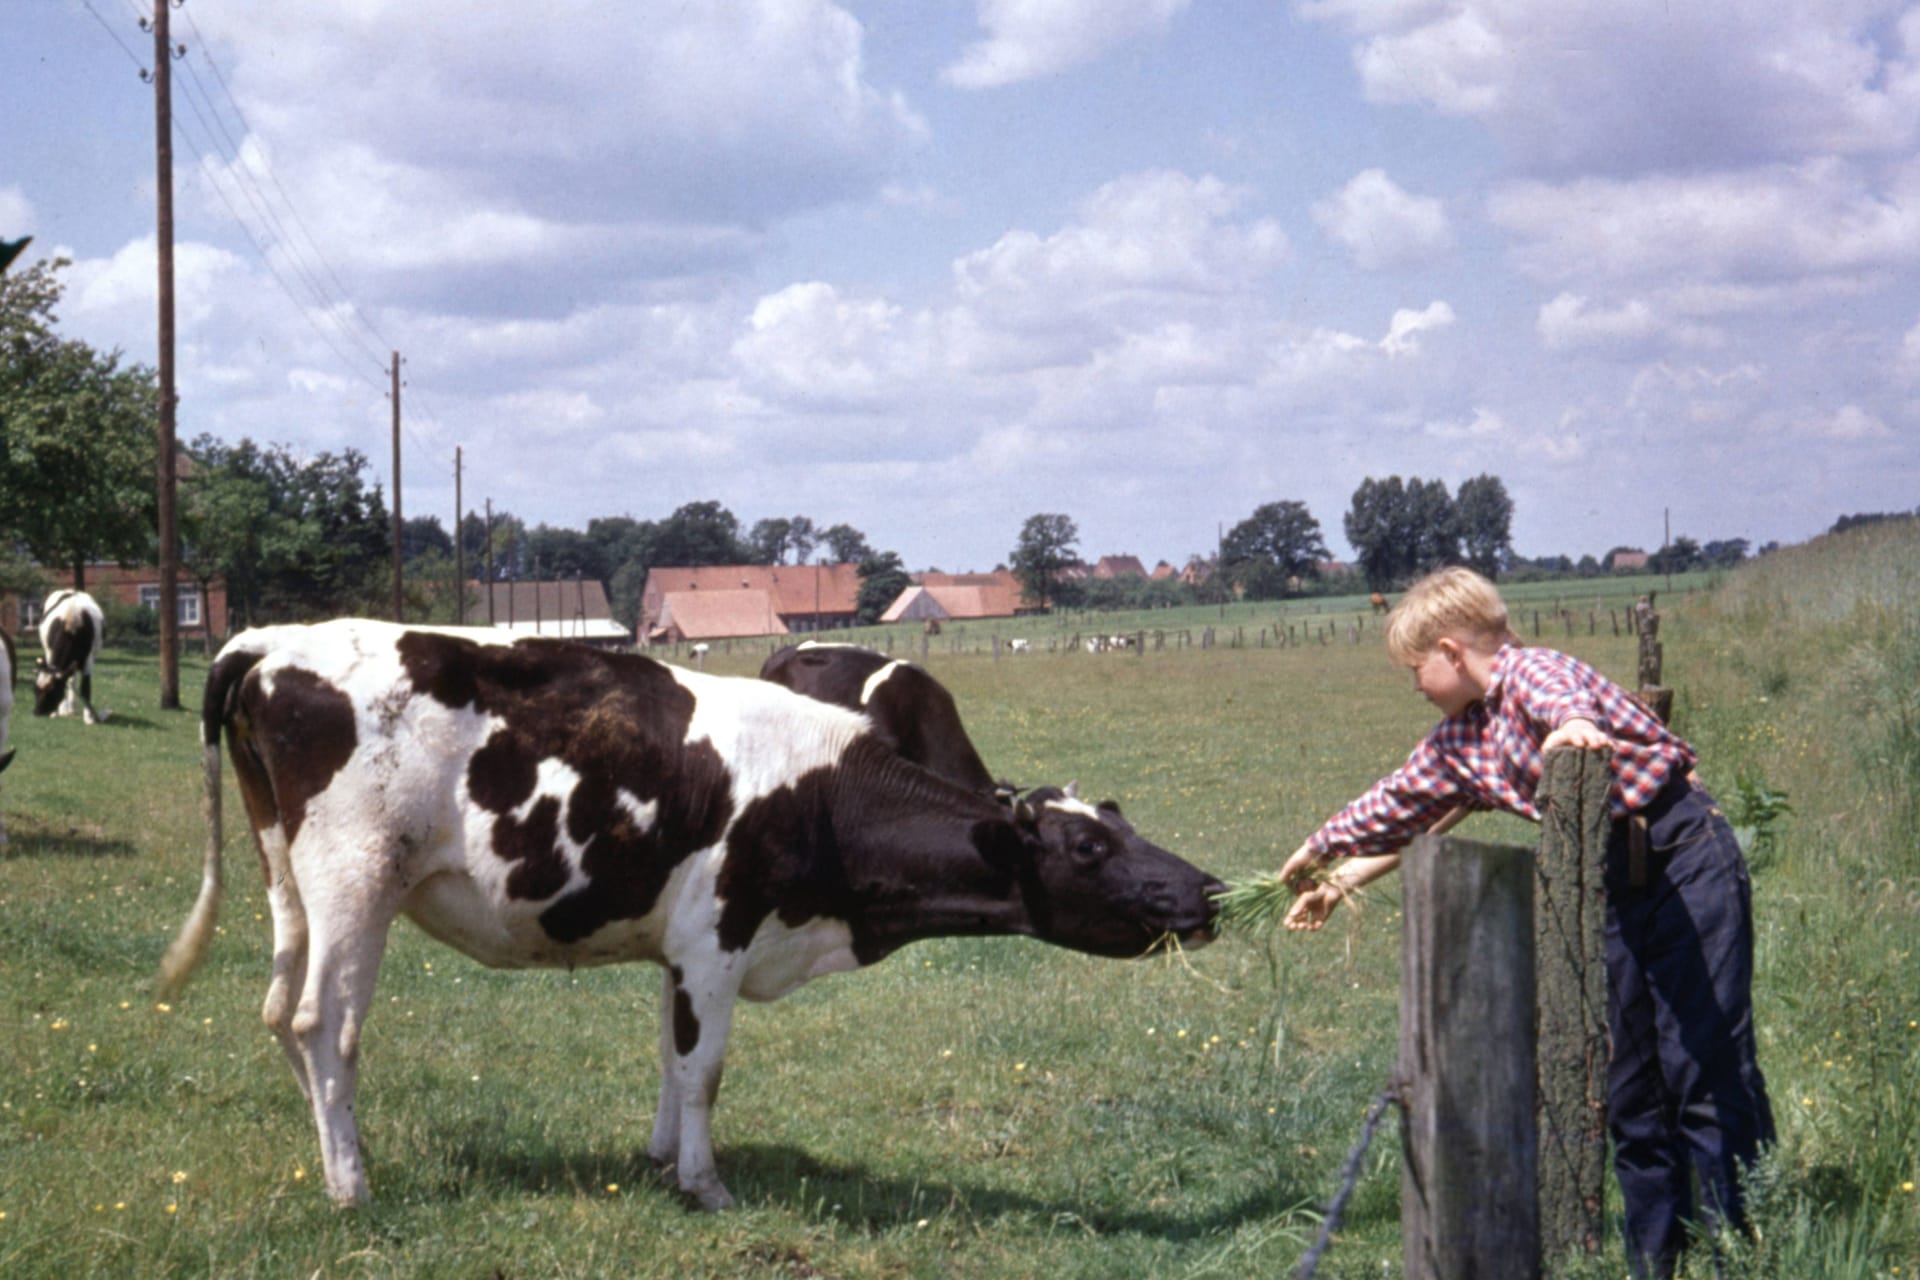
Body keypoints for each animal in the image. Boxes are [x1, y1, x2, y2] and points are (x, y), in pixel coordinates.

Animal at [34, 591, 107, 721]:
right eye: (35, 689)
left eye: (53, 691)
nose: (37, 712)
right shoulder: (50, 653)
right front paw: (59, 710)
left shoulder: (88, 660)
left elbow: (85, 688)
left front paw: (89, 717)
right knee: (70, 680)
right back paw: (67, 708)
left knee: (72, 680)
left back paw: (72, 708)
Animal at [161, 625, 1213, 1220]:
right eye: (1087, 849)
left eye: (1116, 819)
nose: (1206, 891)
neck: (826, 793)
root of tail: (266, 645)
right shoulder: (717, 937)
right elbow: (705, 1069)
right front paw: (705, 1185)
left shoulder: (676, 950)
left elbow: (670, 1058)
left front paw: (662, 1159)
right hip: (355, 880)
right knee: (322, 1024)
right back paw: (352, 1186)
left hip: (286, 877)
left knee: (279, 1011)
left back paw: (338, 1153)